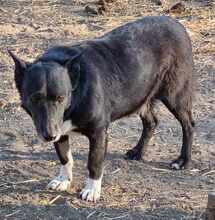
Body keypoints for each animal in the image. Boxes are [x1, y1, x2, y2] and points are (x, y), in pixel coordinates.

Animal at [9, 15, 195, 201]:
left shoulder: (98, 133)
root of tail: (175, 23)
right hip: (140, 97)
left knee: (188, 125)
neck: (77, 88)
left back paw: (182, 161)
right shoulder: (60, 131)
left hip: (175, 96)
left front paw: (92, 190)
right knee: (152, 122)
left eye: (61, 98)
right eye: (35, 98)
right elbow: (65, 157)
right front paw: (63, 180)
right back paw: (138, 152)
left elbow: (94, 163)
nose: (49, 135)